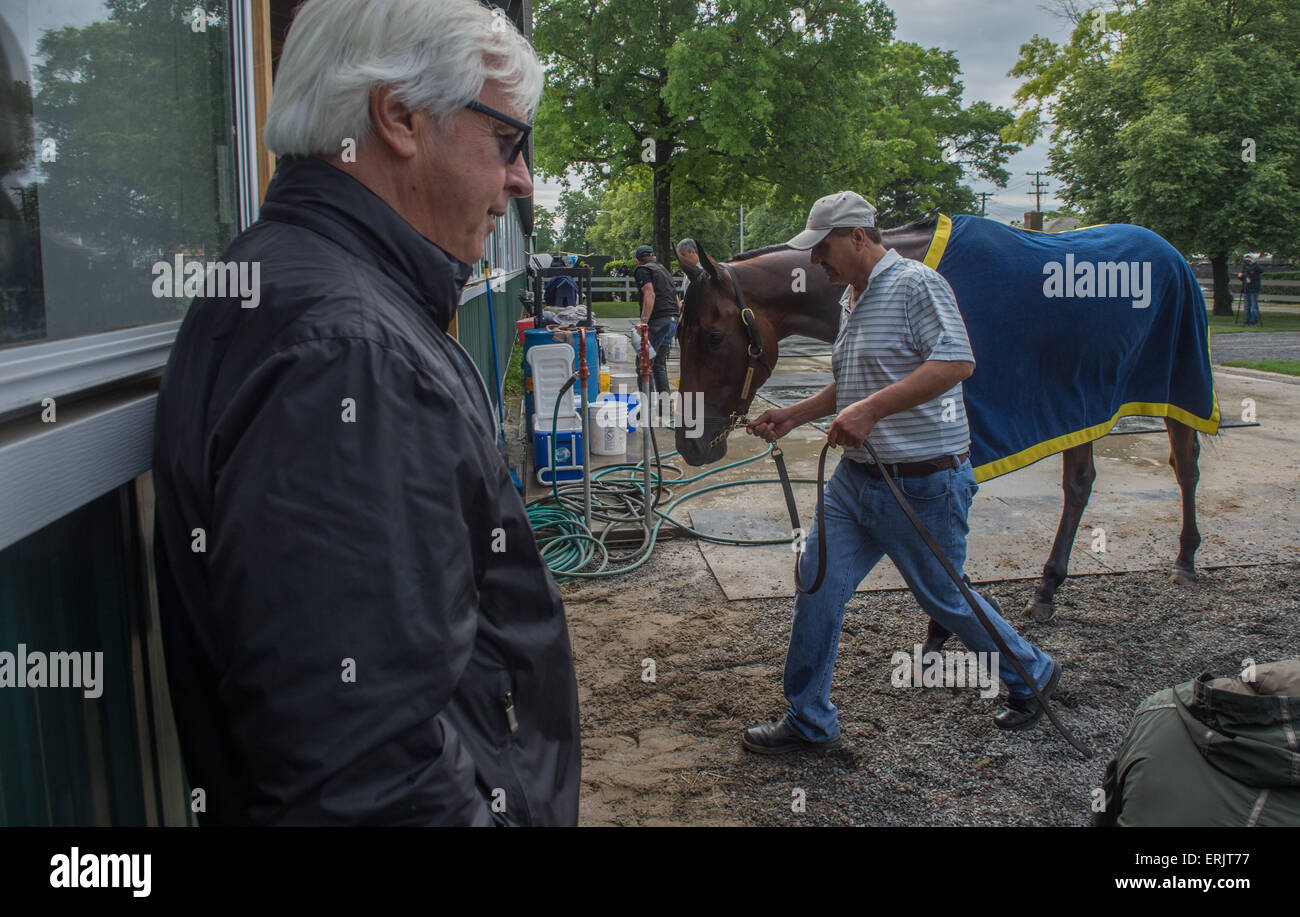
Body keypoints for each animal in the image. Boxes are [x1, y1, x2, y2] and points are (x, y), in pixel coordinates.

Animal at [670, 213, 1216, 621]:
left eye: (713, 337)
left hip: (1176, 382)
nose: (689, 443)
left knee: (1186, 464)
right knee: (1080, 482)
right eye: (676, 334)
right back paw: (1048, 587)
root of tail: (1174, 255)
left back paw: (1186, 559)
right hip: (1084, 399)